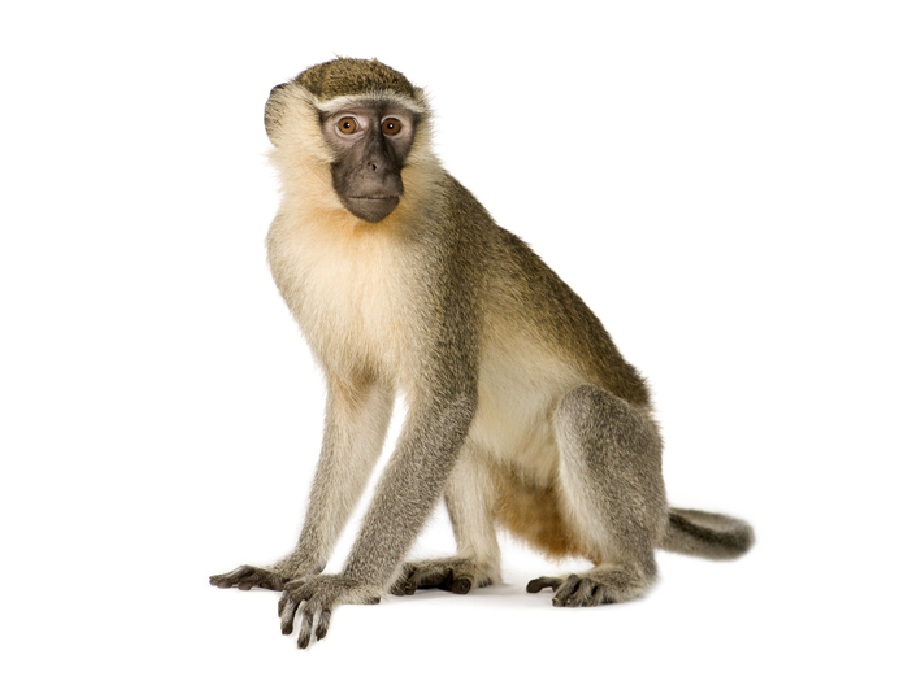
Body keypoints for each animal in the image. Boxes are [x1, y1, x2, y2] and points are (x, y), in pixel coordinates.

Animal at [210, 58, 754, 649]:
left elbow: (445, 401)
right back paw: (476, 562)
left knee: (581, 410)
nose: (378, 166)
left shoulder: (438, 245)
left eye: (394, 127)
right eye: (348, 126)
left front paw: (348, 583)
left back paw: (626, 572)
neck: (348, 228)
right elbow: (363, 406)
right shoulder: (284, 250)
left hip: (637, 462)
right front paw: (296, 565)